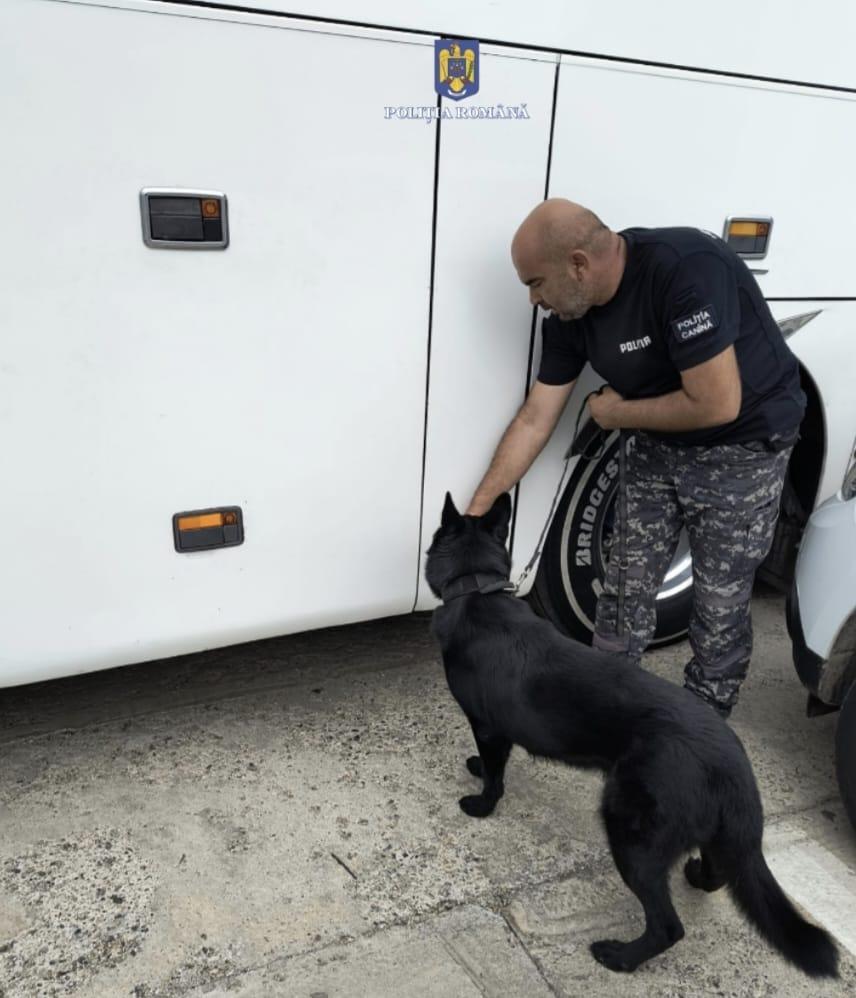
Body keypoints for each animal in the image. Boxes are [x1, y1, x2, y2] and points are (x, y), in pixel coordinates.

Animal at [425, 491, 838, 977]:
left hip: (630, 834)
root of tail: (733, 763)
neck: (476, 590)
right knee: (719, 873)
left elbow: (494, 775)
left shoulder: (487, 728)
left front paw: (481, 804)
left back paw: (619, 957)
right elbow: (492, 764)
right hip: (702, 834)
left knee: (668, 926)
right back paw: (696, 878)